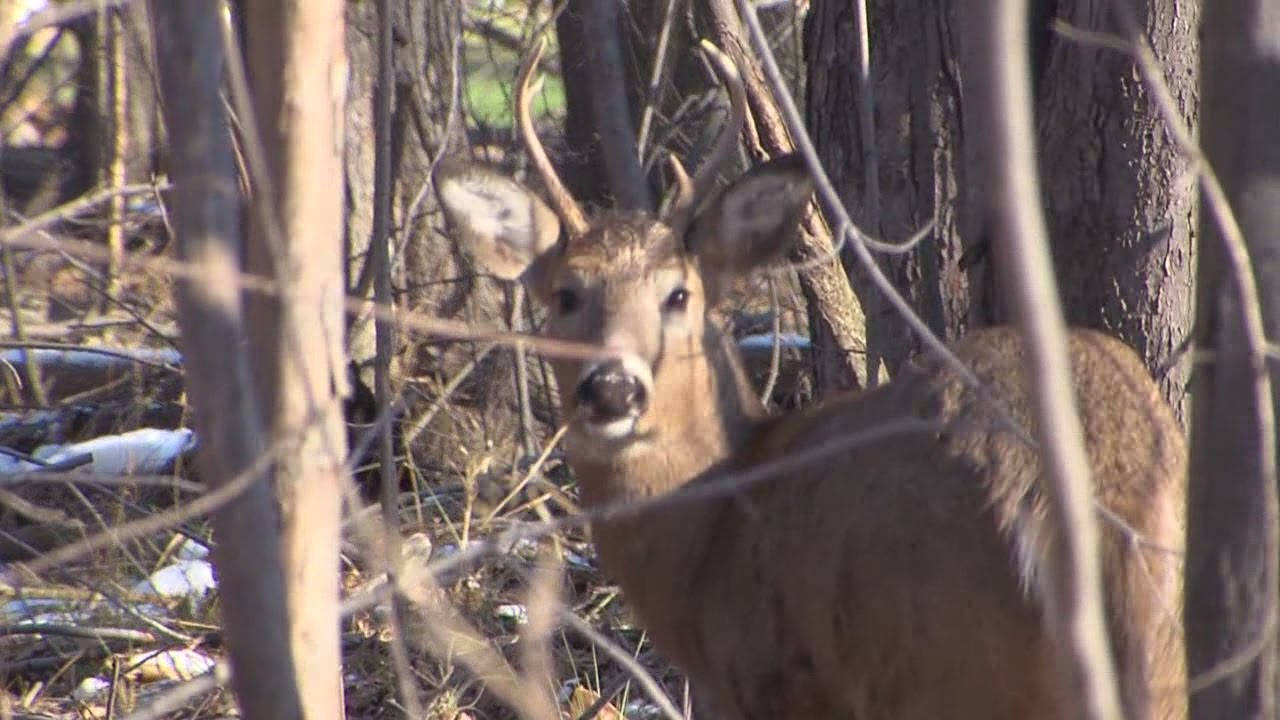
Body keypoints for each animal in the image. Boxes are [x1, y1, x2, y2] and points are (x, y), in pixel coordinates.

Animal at [434, 38, 1187, 720]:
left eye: (678, 295)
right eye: (565, 295)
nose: (612, 387)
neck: (711, 528)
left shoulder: (765, 683)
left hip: (942, 659)